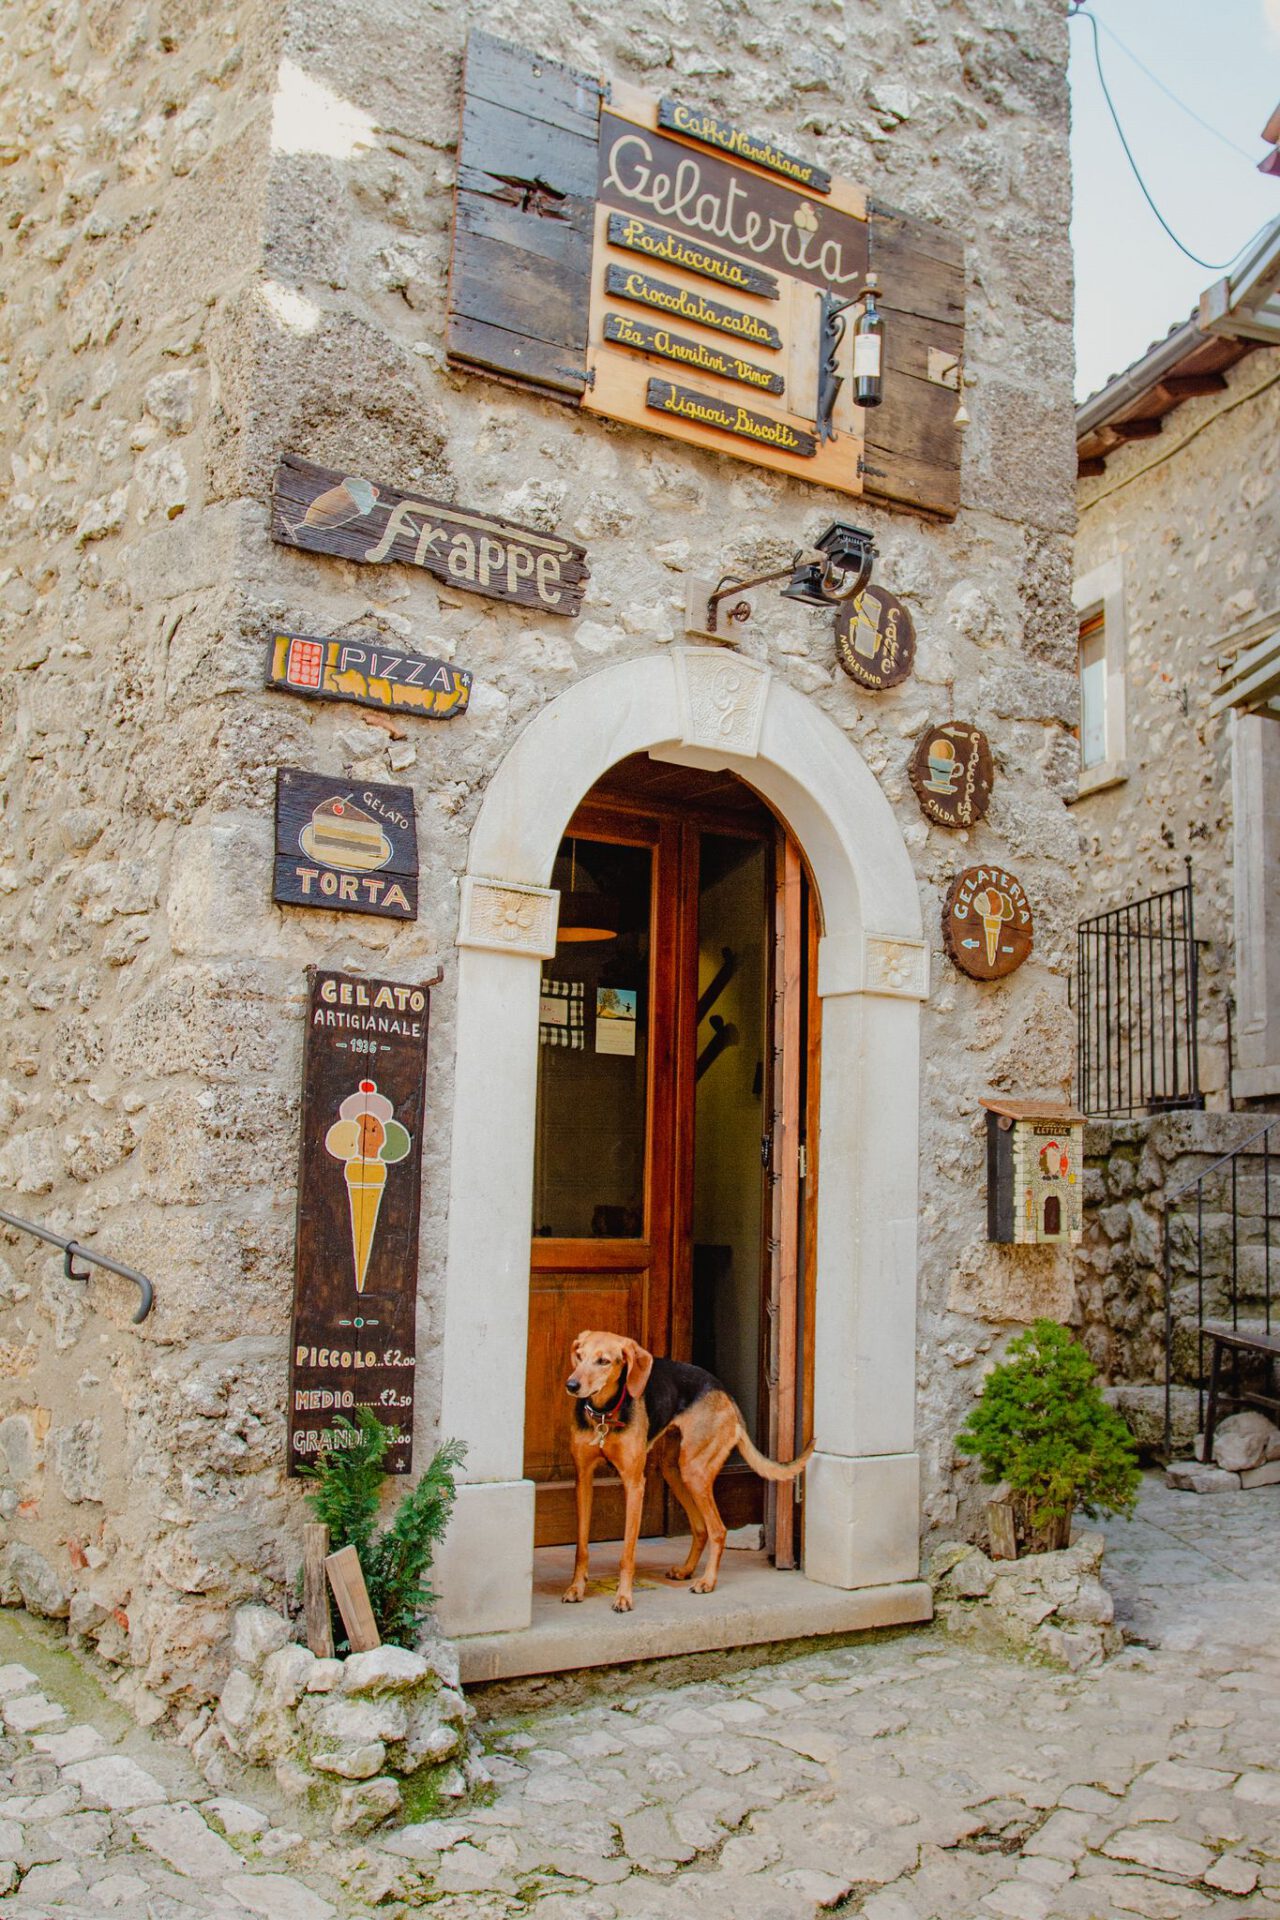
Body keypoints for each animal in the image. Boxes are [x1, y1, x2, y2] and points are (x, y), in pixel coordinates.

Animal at [560, 1328, 809, 1612]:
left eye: (604, 1361)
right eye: (580, 1356)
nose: (571, 1385)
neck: (604, 1413)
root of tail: (724, 1392)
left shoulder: (634, 1484)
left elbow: (628, 1552)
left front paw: (623, 1596)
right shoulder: (583, 1479)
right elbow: (581, 1546)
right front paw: (576, 1588)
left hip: (695, 1472)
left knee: (717, 1530)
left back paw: (707, 1581)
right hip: (674, 1471)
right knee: (700, 1528)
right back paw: (686, 1570)